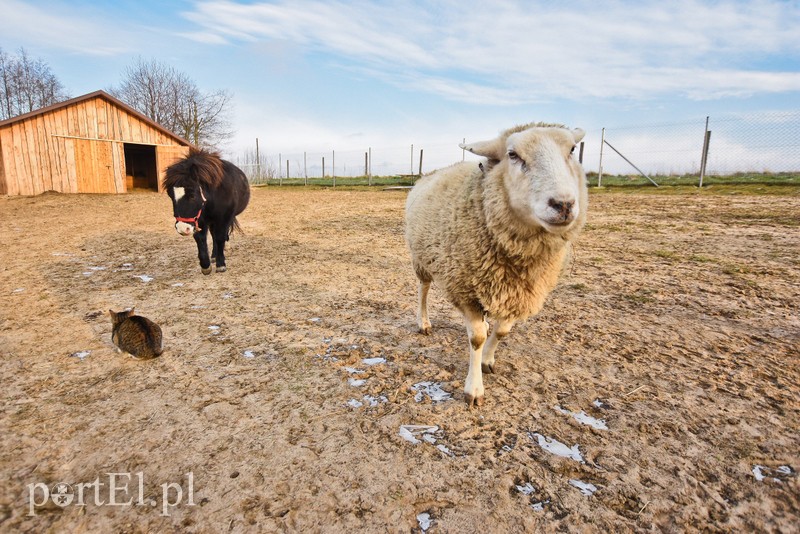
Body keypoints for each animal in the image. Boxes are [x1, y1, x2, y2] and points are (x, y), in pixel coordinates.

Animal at [406, 122, 588, 406]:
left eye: (572, 150)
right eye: (512, 154)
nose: (564, 204)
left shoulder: (519, 292)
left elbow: (502, 331)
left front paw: (488, 359)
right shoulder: (466, 290)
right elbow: (477, 338)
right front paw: (474, 388)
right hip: (421, 257)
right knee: (423, 289)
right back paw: (423, 322)